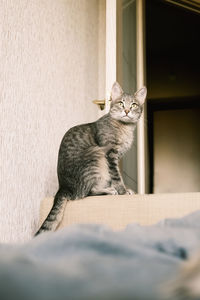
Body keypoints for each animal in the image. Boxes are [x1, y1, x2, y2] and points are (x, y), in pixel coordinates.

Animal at [34, 82, 147, 237]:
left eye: (134, 104)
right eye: (121, 103)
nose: (127, 110)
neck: (124, 128)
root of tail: (63, 187)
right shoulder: (110, 153)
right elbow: (117, 176)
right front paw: (123, 191)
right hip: (95, 154)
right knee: (88, 192)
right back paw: (109, 190)